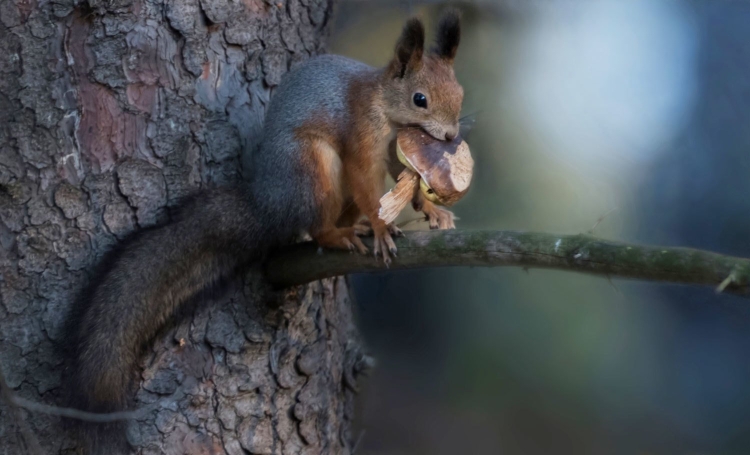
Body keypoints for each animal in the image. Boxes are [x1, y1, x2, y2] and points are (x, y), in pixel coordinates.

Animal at [61, 9, 464, 452]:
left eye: (460, 93)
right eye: (420, 99)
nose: (451, 136)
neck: (387, 111)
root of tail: (270, 204)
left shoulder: (398, 151)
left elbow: (405, 176)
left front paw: (431, 209)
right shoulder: (361, 133)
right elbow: (365, 176)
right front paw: (380, 226)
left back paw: (353, 226)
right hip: (312, 167)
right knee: (317, 224)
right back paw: (340, 234)